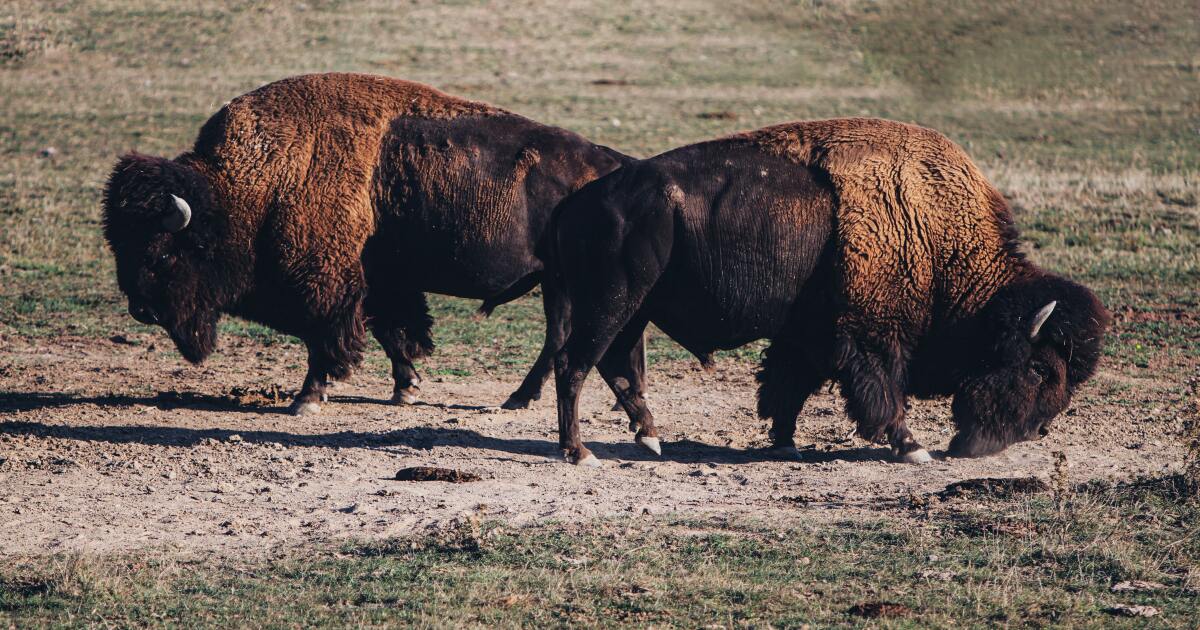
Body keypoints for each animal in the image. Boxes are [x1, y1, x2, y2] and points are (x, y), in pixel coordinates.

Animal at [103, 73, 636, 414]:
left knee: (559, 336)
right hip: (557, 282)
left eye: (163, 252)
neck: (255, 184)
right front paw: (407, 388)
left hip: (562, 282)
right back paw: (527, 397)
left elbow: (326, 339)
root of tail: (614, 164)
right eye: (119, 246)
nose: (141, 310)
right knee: (561, 335)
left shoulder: (327, 284)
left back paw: (521, 398)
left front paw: (306, 400)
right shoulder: (378, 280)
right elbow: (390, 331)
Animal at [545, 117, 1110, 466]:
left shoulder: (808, 335)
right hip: (612, 304)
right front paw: (912, 447)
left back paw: (650, 438)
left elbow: (786, 387)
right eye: (1039, 368)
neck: (934, 236)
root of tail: (578, 202)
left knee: (615, 366)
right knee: (574, 364)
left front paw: (784, 444)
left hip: (635, 310)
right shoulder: (870, 336)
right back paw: (580, 453)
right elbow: (882, 392)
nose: (1033, 432)